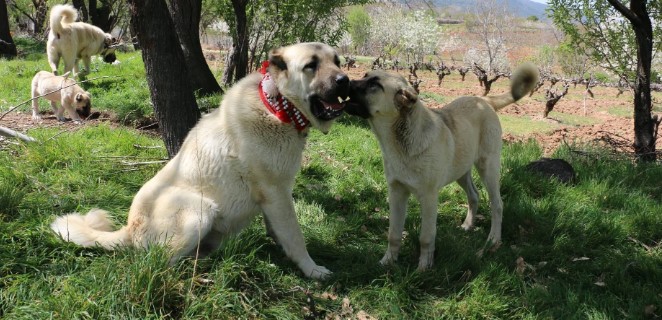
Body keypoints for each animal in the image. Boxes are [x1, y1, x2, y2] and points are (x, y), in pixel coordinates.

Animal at [50, 42, 352, 278]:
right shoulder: (276, 193)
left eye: (337, 61)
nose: (345, 81)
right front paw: (311, 269)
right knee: (159, 264)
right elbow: (295, 236)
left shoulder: (275, 198)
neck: (276, 104)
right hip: (200, 211)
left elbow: (278, 231)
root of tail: (130, 229)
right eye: (311, 65)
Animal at [344, 63, 544, 272]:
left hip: (488, 167)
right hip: (461, 170)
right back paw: (468, 225)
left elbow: (426, 237)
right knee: (474, 195)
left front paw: (423, 268)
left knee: (497, 204)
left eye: (375, 85)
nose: (345, 81)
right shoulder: (397, 193)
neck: (401, 142)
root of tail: (483, 99)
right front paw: (388, 262)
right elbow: (393, 234)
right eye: (365, 75)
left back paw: (493, 240)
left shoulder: (429, 197)